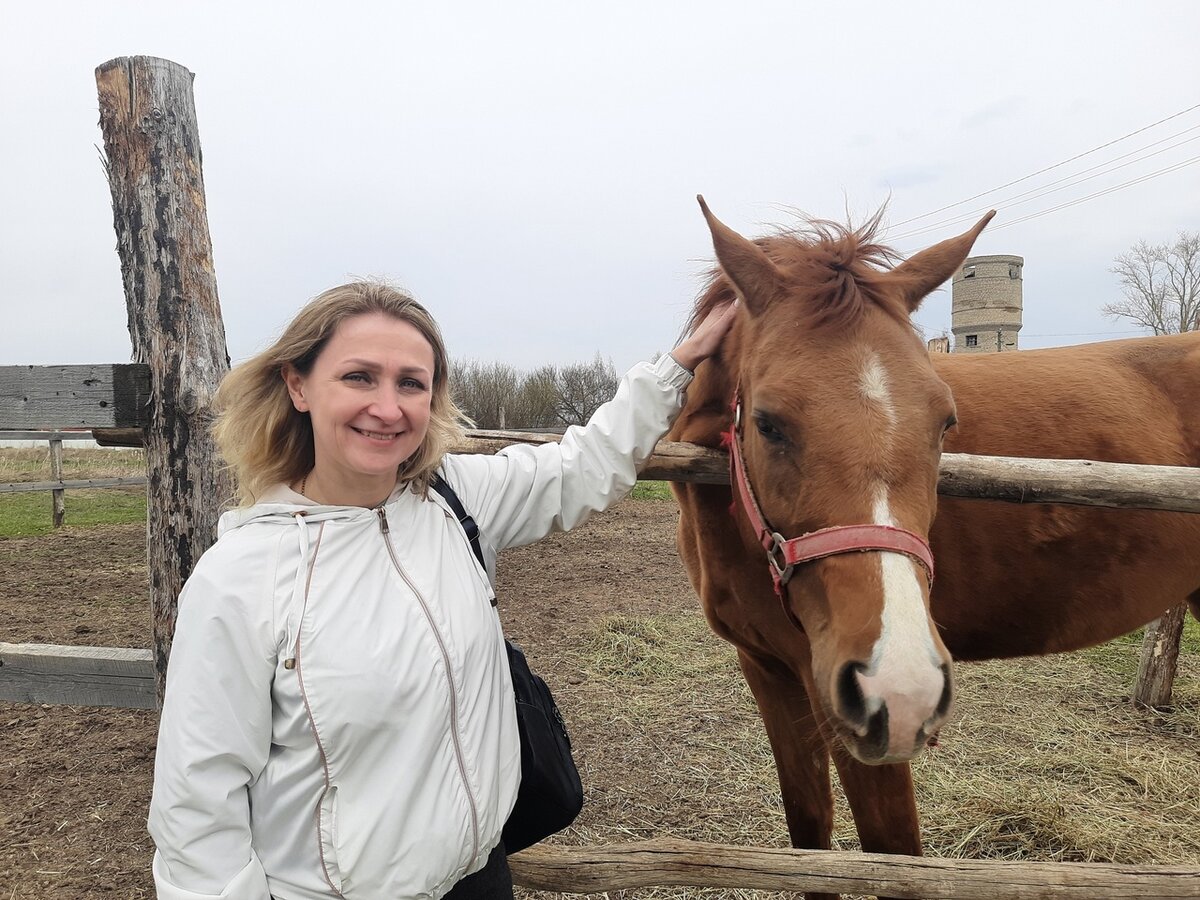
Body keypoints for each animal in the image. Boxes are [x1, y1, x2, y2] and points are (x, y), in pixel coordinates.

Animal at [672, 199, 1200, 900]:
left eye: (944, 422)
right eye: (767, 422)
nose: (902, 686)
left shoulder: (840, 703)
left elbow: (893, 855)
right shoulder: (770, 670)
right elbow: (809, 835)